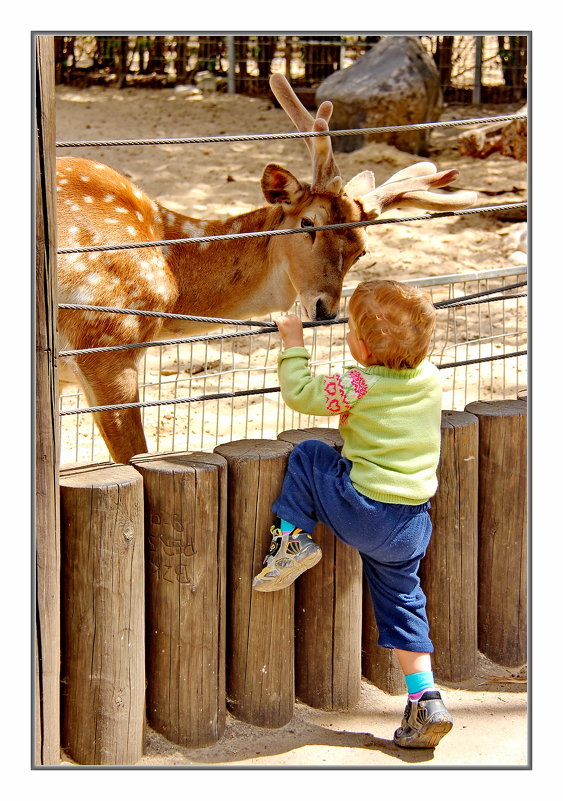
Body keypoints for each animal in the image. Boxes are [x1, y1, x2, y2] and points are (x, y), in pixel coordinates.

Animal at [57, 76, 476, 462]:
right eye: (307, 223)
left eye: (362, 249)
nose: (326, 309)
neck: (172, 276)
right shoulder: (107, 343)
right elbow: (132, 458)